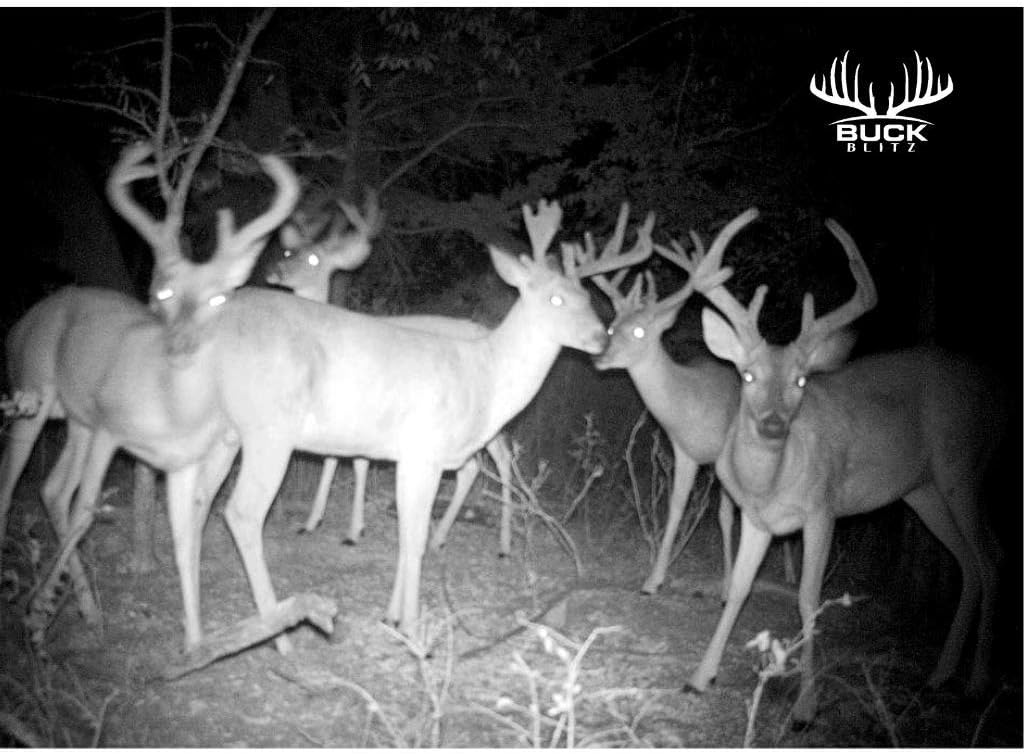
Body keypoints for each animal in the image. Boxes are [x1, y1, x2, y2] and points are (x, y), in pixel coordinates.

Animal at [0, 142, 301, 652]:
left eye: (220, 297)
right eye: (164, 291)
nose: (180, 344)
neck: (172, 408)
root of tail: (20, 324)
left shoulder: (182, 462)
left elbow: (184, 539)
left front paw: (196, 644)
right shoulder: (109, 425)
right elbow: (85, 512)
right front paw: (37, 613)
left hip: (76, 421)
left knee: (51, 488)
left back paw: (87, 609)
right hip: (34, 392)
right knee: (13, 482)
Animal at [265, 194, 516, 556]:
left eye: (313, 258)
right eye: (288, 252)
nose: (273, 271)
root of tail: (485, 331)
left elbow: (358, 462)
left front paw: (354, 531)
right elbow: (331, 457)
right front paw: (312, 522)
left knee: (502, 460)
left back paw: (503, 544)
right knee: (472, 467)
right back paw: (440, 537)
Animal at [689, 210, 1004, 723]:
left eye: (800, 380)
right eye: (747, 375)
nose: (774, 424)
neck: (770, 484)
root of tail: (1000, 391)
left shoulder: (823, 509)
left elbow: (808, 598)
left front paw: (805, 705)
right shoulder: (758, 519)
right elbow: (738, 588)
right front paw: (699, 677)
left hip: (964, 467)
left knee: (992, 556)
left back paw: (976, 683)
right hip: (923, 490)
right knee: (968, 562)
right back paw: (941, 674)